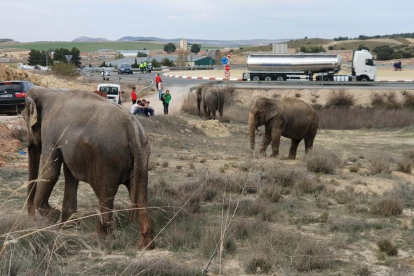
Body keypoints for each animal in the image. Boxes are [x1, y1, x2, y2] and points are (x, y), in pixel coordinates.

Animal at [21, 87, 154, 249]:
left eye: (23, 119)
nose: (32, 219)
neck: (49, 92)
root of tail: (132, 128)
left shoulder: (50, 134)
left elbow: (50, 173)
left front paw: (53, 217)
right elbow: (70, 175)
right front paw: (68, 225)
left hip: (106, 158)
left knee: (105, 192)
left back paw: (100, 238)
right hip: (142, 155)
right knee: (140, 193)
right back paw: (145, 244)